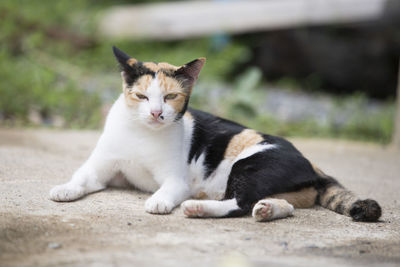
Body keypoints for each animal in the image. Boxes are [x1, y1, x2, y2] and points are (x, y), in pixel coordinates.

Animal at [49, 47, 382, 223]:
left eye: (170, 97)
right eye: (142, 97)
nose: (156, 113)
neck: (141, 133)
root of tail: (311, 162)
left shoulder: (177, 180)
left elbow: (169, 189)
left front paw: (159, 201)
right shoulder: (102, 168)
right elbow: (82, 176)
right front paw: (65, 189)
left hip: (248, 164)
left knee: (240, 202)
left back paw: (198, 207)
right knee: (280, 205)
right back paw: (267, 209)